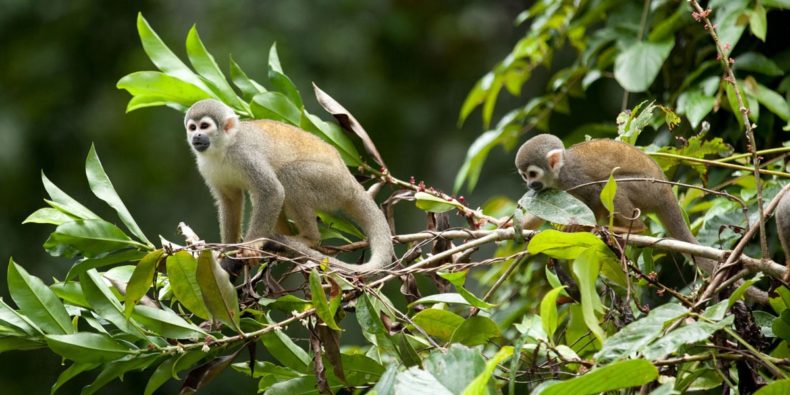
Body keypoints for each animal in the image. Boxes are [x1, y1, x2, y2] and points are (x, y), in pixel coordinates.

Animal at [186, 100, 396, 276]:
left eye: (204, 126)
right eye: (192, 127)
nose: (196, 136)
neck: (222, 149)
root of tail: (351, 182)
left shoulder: (245, 154)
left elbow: (272, 191)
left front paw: (251, 247)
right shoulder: (205, 166)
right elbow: (230, 200)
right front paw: (227, 251)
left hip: (332, 183)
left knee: (288, 176)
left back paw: (308, 239)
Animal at [516, 134, 772, 304]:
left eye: (533, 174)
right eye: (524, 176)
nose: (530, 185)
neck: (559, 173)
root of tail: (667, 192)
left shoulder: (574, 179)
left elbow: (594, 199)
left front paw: (580, 228)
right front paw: (512, 225)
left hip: (648, 190)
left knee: (613, 184)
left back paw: (633, 229)